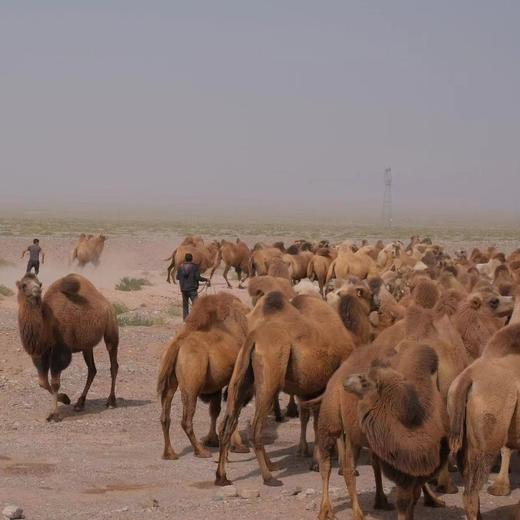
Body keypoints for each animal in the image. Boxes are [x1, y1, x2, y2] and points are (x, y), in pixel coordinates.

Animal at [15, 274, 119, 420]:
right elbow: (42, 382)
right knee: (92, 369)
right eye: (23, 285)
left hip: (111, 329)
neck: (48, 321)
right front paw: (65, 399)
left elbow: (55, 383)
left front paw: (54, 414)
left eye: (39, 284)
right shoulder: (42, 352)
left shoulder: (61, 350)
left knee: (113, 365)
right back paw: (80, 403)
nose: (37, 291)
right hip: (86, 345)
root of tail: (107, 303)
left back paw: (111, 401)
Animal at [156, 292, 250, 460]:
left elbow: (215, 410)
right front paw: (238, 446)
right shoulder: (233, 379)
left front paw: (212, 440)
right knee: (186, 420)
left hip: (170, 382)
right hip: (191, 383)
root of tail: (177, 345)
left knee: (165, 417)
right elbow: (232, 409)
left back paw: (170, 453)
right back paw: (201, 451)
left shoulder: (217, 383)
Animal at [213, 292, 356, 488]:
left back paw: (222, 476)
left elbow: (316, 423)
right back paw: (268, 477)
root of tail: (253, 339)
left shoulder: (313, 389)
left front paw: (316, 462)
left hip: (241, 376)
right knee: (256, 429)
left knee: (227, 423)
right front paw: (340, 467)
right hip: (269, 377)